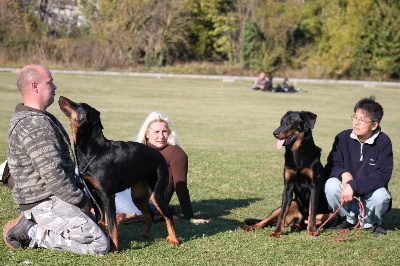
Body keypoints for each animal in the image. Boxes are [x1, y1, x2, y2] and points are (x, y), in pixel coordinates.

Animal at [58, 96, 180, 250]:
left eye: (78, 105)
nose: (61, 97)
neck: (94, 150)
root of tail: (160, 155)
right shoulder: (94, 195)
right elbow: (100, 221)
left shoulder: (108, 195)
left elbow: (112, 225)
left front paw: (115, 247)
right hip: (138, 196)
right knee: (149, 215)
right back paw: (143, 234)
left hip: (156, 194)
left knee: (167, 215)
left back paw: (173, 239)